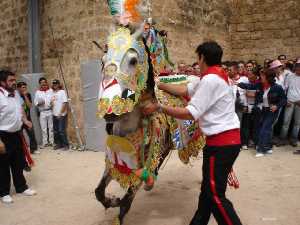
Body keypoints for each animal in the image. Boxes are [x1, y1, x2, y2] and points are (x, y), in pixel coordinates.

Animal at [95, 0, 205, 224]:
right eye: (102, 60)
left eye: (133, 60)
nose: (109, 112)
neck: (128, 129)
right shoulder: (114, 162)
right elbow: (99, 192)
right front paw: (111, 200)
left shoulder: (138, 169)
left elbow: (125, 204)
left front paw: (118, 202)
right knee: (159, 160)